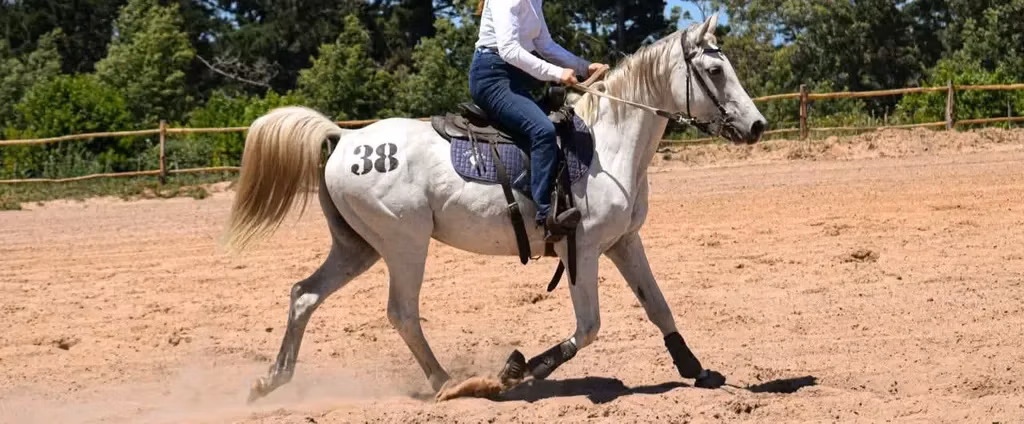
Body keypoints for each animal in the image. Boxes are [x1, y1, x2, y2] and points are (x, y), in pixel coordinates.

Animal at [225, 13, 767, 403]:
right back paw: (451, 384)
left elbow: (658, 306)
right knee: (402, 313)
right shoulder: (581, 249)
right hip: (403, 244)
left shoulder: (623, 242)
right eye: (714, 70)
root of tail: (344, 138)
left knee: (304, 295)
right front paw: (518, 369)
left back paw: (270, 381)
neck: (607, 145)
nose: (757, 125)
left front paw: (697, 370)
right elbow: (589, 328)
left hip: (358, 246)